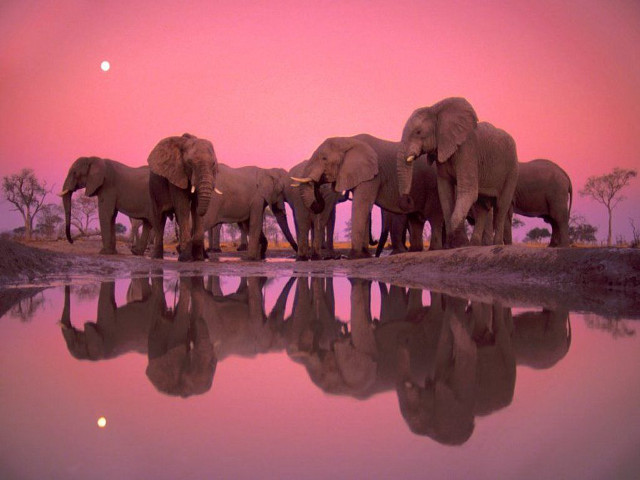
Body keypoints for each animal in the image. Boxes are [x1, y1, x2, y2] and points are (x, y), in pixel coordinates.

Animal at [147, 133, 220, 261]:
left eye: (213, 164)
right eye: (190, 163)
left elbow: (195, 207)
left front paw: (198, 258)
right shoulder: (176, 174)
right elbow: (183, 206)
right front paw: (185, 258)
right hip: (153, 189)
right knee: (159, 218)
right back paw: (156, 257)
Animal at [293, 134, 447, 259]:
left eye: (324, 158)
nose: (318, 183)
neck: (348, 139)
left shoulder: (372, 175)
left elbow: (361, 205)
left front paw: (353, 256)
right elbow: (364, 208)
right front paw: (364, 254)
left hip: (433, 186)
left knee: (434, 216)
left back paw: (434, 249)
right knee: (416, 219)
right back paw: (415, 250)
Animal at [398, 97, 519, 247]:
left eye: (418, 132)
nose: (407, 199)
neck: (436, 110)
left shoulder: (467, 151)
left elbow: (467, 191)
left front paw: (460, 243)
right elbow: (445, 193)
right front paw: (454, 244)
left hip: (512, 169)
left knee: (501, 205)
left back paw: (496, 244)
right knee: (482, 207)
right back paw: (474, 244)